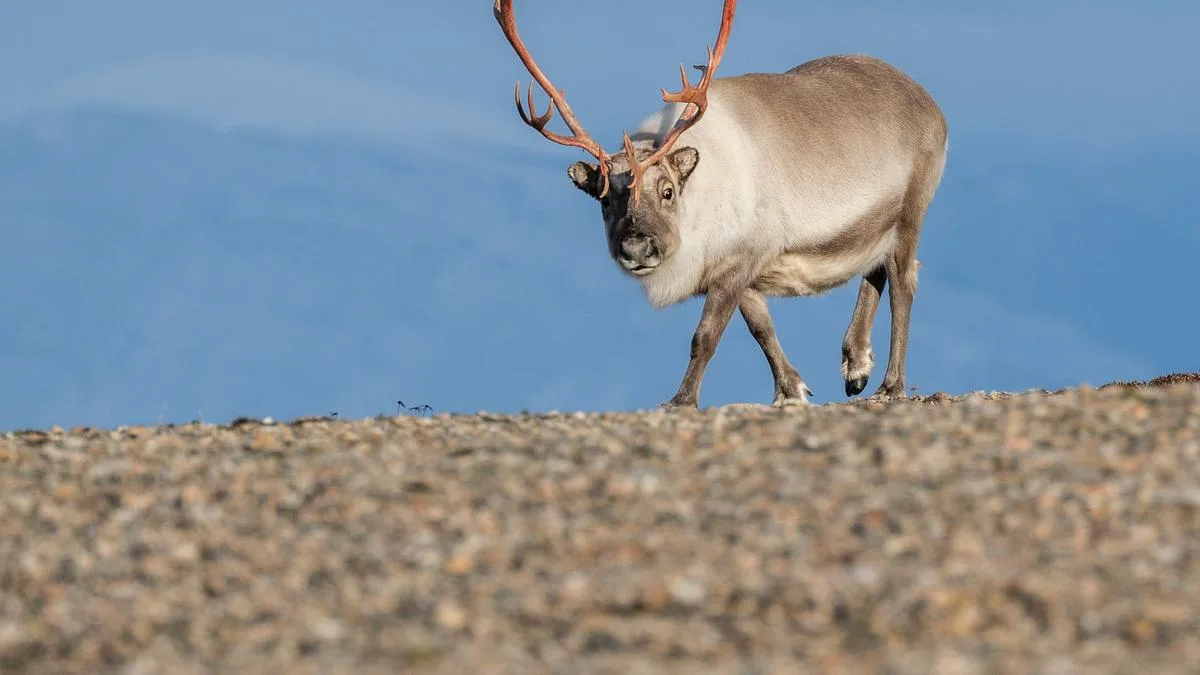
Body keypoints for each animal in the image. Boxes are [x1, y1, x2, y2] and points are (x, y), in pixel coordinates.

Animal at [493, 0, 948, 410]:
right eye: (604, 198)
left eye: (668, 191)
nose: (636, 248)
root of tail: (930, 103)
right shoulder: (734, 269)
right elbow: (761, 327)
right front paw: (790, 389)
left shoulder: (740, 259)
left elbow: (705, 336)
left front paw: (682, 400)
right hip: (877, 222)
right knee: (875, 269)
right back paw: (856, 366)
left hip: (912, 211)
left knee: (904, 282)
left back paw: (890, 385)